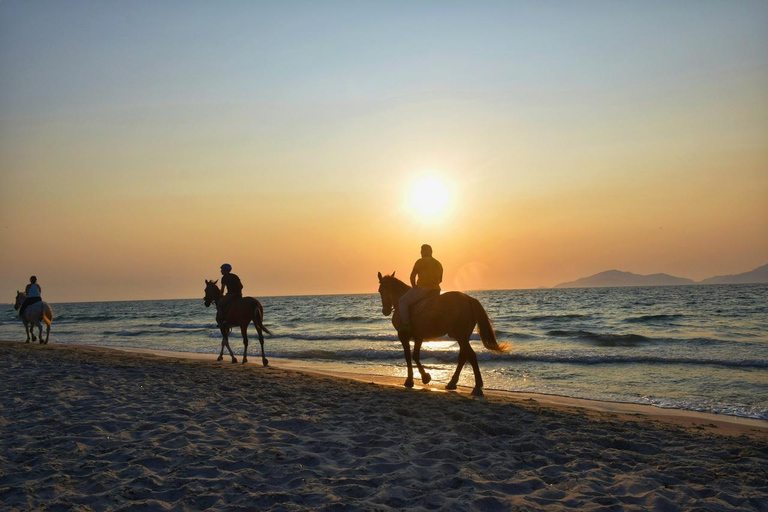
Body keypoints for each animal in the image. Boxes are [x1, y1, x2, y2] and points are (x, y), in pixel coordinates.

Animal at [377, 272, 509, 396]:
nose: (385, 311)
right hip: (463, 336)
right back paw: (452, 383)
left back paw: (477, 387)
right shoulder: (418, 337)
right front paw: (425, 377)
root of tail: (469, 299)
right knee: (463, 356)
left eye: (380, 290)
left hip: (460, 335)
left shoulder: (403, 337)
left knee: (471, 355)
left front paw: (410, 381)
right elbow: (415, 356)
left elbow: (408, 357)